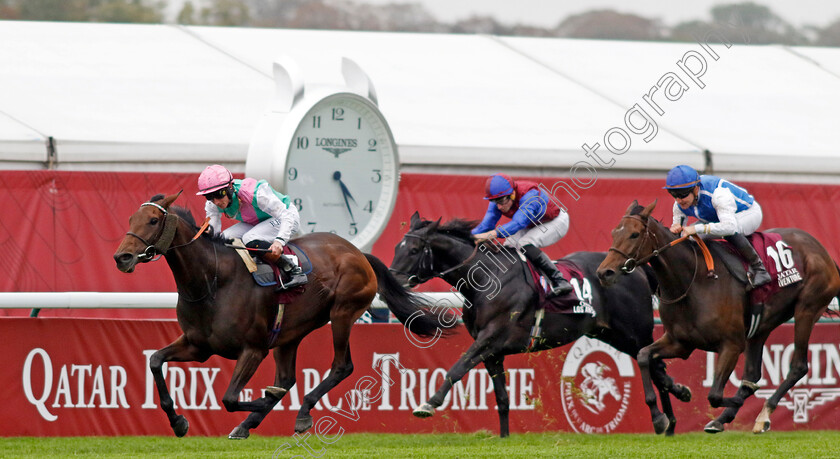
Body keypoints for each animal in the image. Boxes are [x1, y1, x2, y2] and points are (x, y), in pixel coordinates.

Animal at [116, 194, 452, 438]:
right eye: (131, 218)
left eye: (153, 220)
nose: (122, 257)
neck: (212, 281)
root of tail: (358, 252)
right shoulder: (198, 346)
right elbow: (155, 360)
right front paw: (178, 422)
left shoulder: (253, 349)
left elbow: (229, 398)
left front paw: (265, 399)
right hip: (289, 333)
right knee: (288, 378)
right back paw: (249, 424)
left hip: (343, 312)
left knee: (341, 366)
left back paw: (300, 414)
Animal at [388, 214, 688, 436]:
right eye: (396, 249)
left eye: (413, 250)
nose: (393, 281)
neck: (486, 278)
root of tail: (633, 267)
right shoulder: (492, 353)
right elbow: (502, 399)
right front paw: (505, 438)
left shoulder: (490, 339)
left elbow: (457, 368)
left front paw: (428, 404)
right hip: (612, 334)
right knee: (656, 367)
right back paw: (674, 411)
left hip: (635, 331)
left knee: (653, 363)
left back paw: (667, 415)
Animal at [596, 201, 840, 434]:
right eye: (614, 233)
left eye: (634, 234)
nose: (603, 273)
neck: (691, 282)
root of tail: (822, 251)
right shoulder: (680, 343)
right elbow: (643, 356)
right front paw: (661, 413)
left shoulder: (731, 345)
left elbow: (714, 395)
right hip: (762, 325)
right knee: (753, 372)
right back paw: (723, 418)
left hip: (807, 309)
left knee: (798, 366)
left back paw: (762, 415)